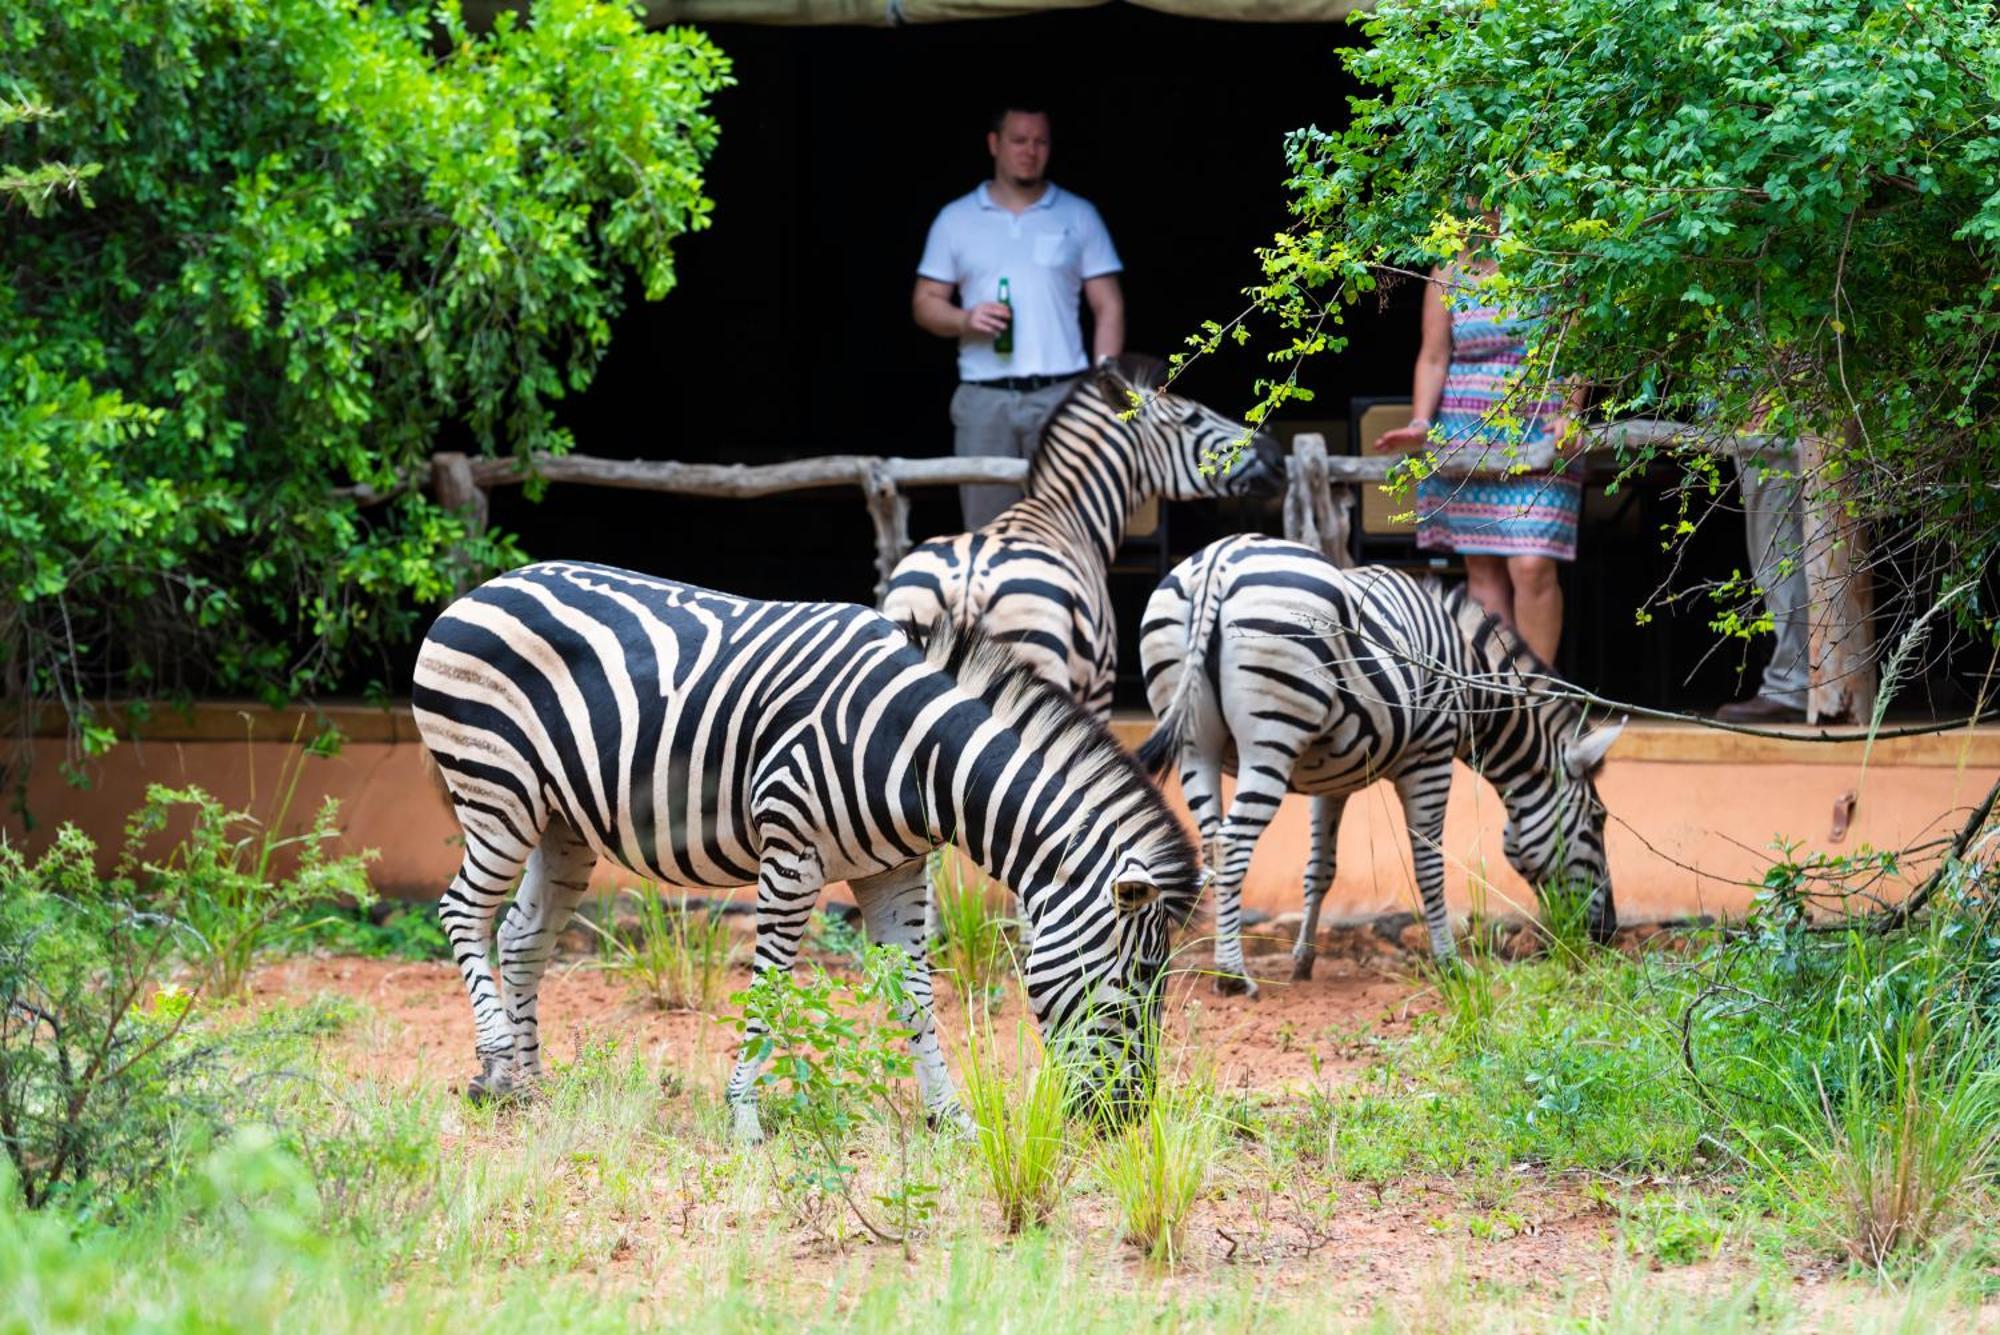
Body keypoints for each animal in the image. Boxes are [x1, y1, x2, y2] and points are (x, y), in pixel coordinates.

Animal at [404, 559, 1184, 1135]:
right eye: (1135, 982)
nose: (1125, 1121)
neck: (919, 751)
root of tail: (477, 591)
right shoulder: (791, 854)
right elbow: (774, 984)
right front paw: (744, 1112)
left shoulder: (897, 873)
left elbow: (915, 996)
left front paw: (951, 1118)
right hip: (497, 790)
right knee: (461, 911)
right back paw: (497, 1061)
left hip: (560, 821)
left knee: (521, 937)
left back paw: (526, 1085)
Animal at [1144, 535, 1624, 991]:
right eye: (1597, 820)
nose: (1608, 932)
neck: (1471, 685)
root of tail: (1217, 563)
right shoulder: (1431, 756)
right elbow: (1429, 865)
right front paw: (1450, 963)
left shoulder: (1329, 780)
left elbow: (1320, 870)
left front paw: (1303, 960)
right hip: (1271, 740)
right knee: (1231, 844)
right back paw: (1231, 974)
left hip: (1196, 744)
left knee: (1211, 843)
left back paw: (1210, 961)